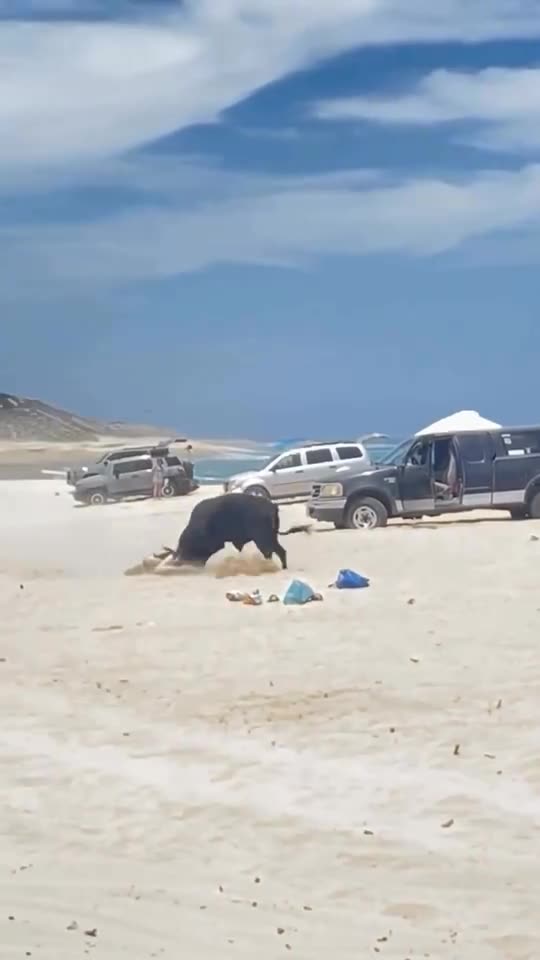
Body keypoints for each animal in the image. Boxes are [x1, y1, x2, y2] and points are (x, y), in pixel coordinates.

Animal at [159, 493, 310, 571]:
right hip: (271, 538)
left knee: (270, 552)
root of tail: (272, 506)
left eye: (187, 549)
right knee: (279, 551)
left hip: (262, 539)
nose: (183, 561)